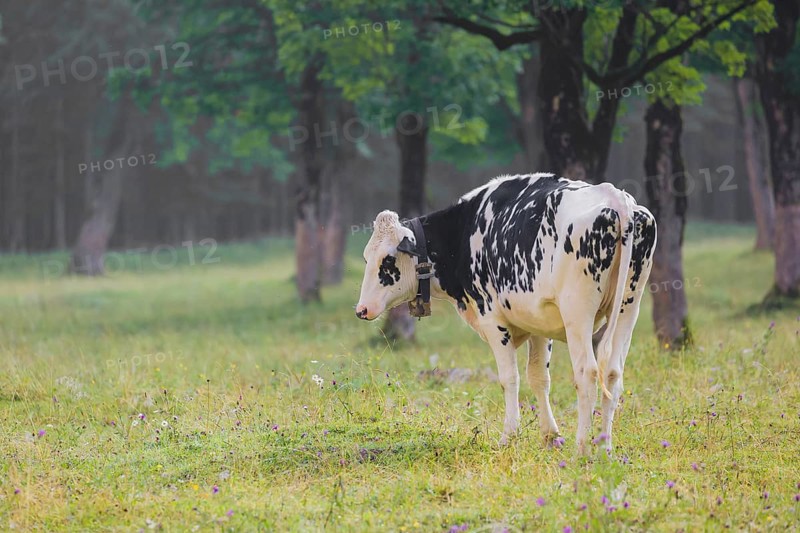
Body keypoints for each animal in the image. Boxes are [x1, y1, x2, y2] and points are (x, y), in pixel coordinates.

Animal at [355, 173, 656, 455]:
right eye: (366, 257)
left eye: (387, 259)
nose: (361, 309)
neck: (464, 232)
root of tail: (614, 197)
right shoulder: (538, 321)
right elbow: (539, 377)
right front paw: (550, 436)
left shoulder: (491, 318)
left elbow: (509, 377)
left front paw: (509, 436)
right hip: (629, 306)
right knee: (613, 373)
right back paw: (605, 447)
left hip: (578, 312)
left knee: (587, 373)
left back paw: (582, 449)